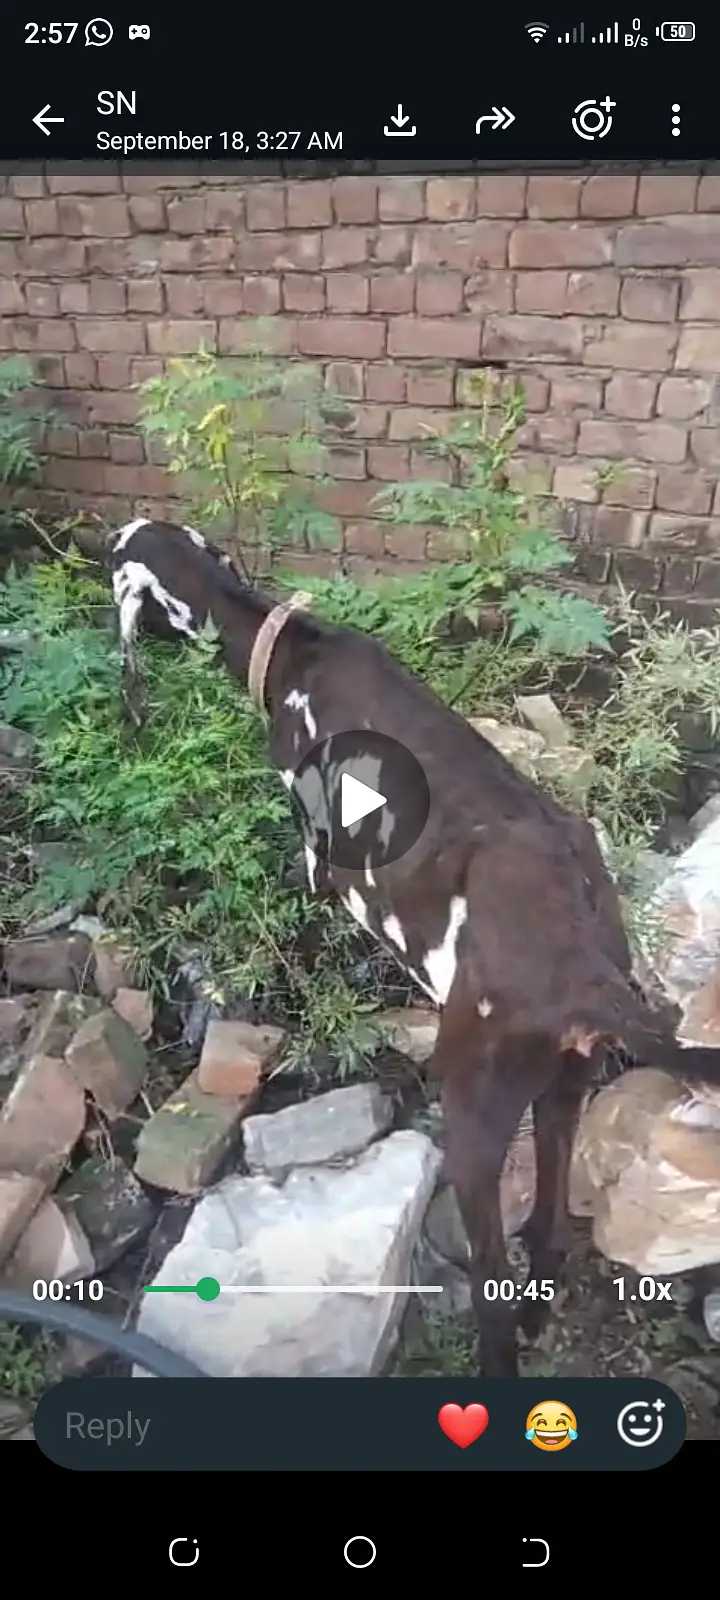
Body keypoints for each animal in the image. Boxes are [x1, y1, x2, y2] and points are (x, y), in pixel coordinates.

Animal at [110, 518, 720, 1377]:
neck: (291, 651)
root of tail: (587, 979)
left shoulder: (323, 859)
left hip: (474, 1115)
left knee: (494, 1280)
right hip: (562, 1090)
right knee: (546, 1228)